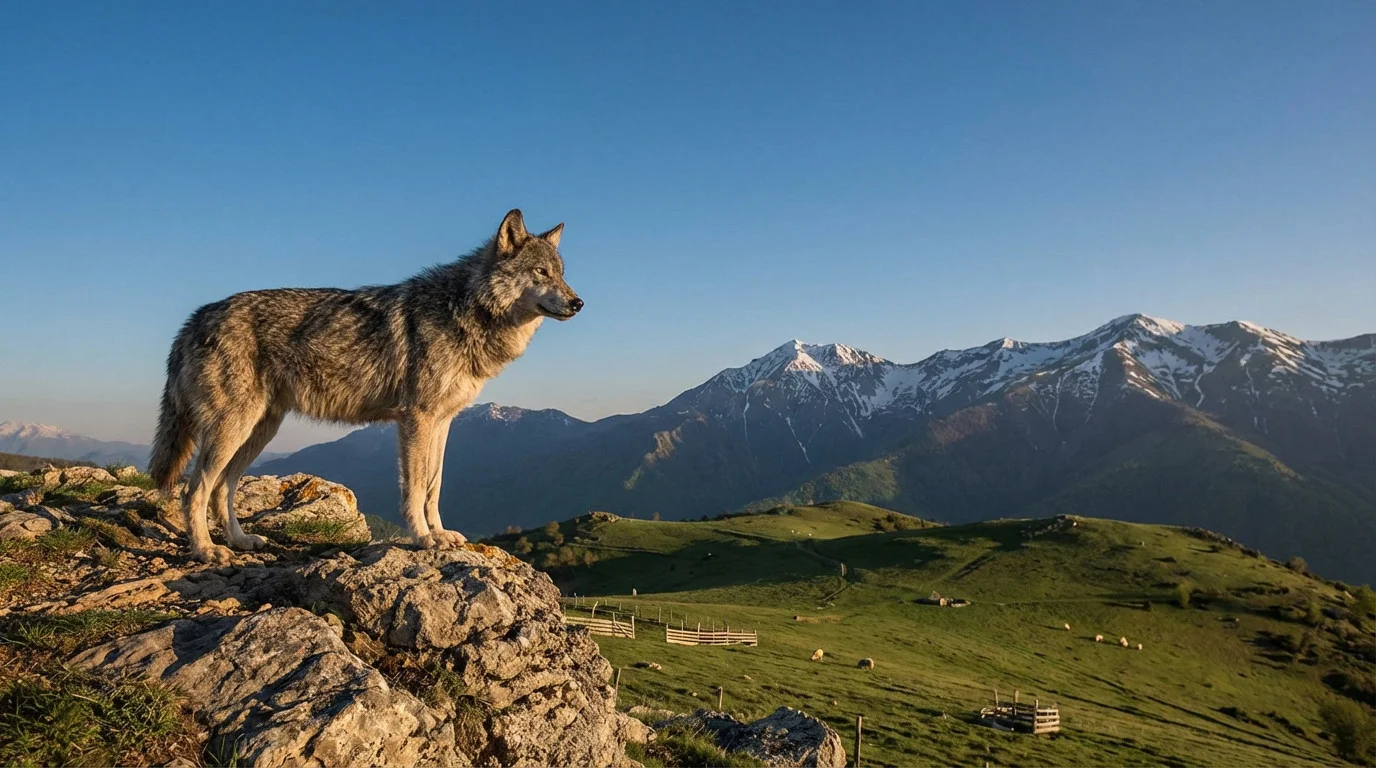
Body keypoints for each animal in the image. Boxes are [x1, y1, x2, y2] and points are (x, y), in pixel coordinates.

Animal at [149, 209, 582, 563]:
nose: (578, 303)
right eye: (541, 273)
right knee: (194, 491)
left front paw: (441, 534)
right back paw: (206, 551)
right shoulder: (415, 420)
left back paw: (239, 542)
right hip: (233, 429)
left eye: (561, 273)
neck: (465, 309)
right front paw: (424, 539)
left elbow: (434, 486)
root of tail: (196, 317)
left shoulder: (443, 422)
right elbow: (414, 488)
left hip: (257, 431)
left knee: (223, 488)